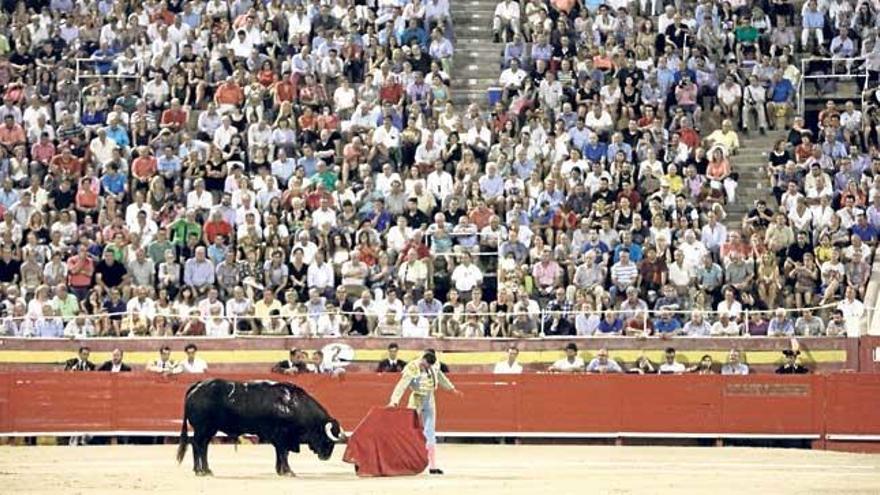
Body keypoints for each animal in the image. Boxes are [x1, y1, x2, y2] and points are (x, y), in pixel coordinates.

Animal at [175, 380, 348, 476]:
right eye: (328, 439)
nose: (326, 456)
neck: (293, 405)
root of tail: (197, 386)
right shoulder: (282, 435)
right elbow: (283, 453)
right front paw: (288, 471)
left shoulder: (278, 437)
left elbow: (281, 453)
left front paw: (280, 470)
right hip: (202, 428)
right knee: (196, 444)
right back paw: (199, 471)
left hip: (210, 429)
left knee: (203, 446)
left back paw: (206, 470)